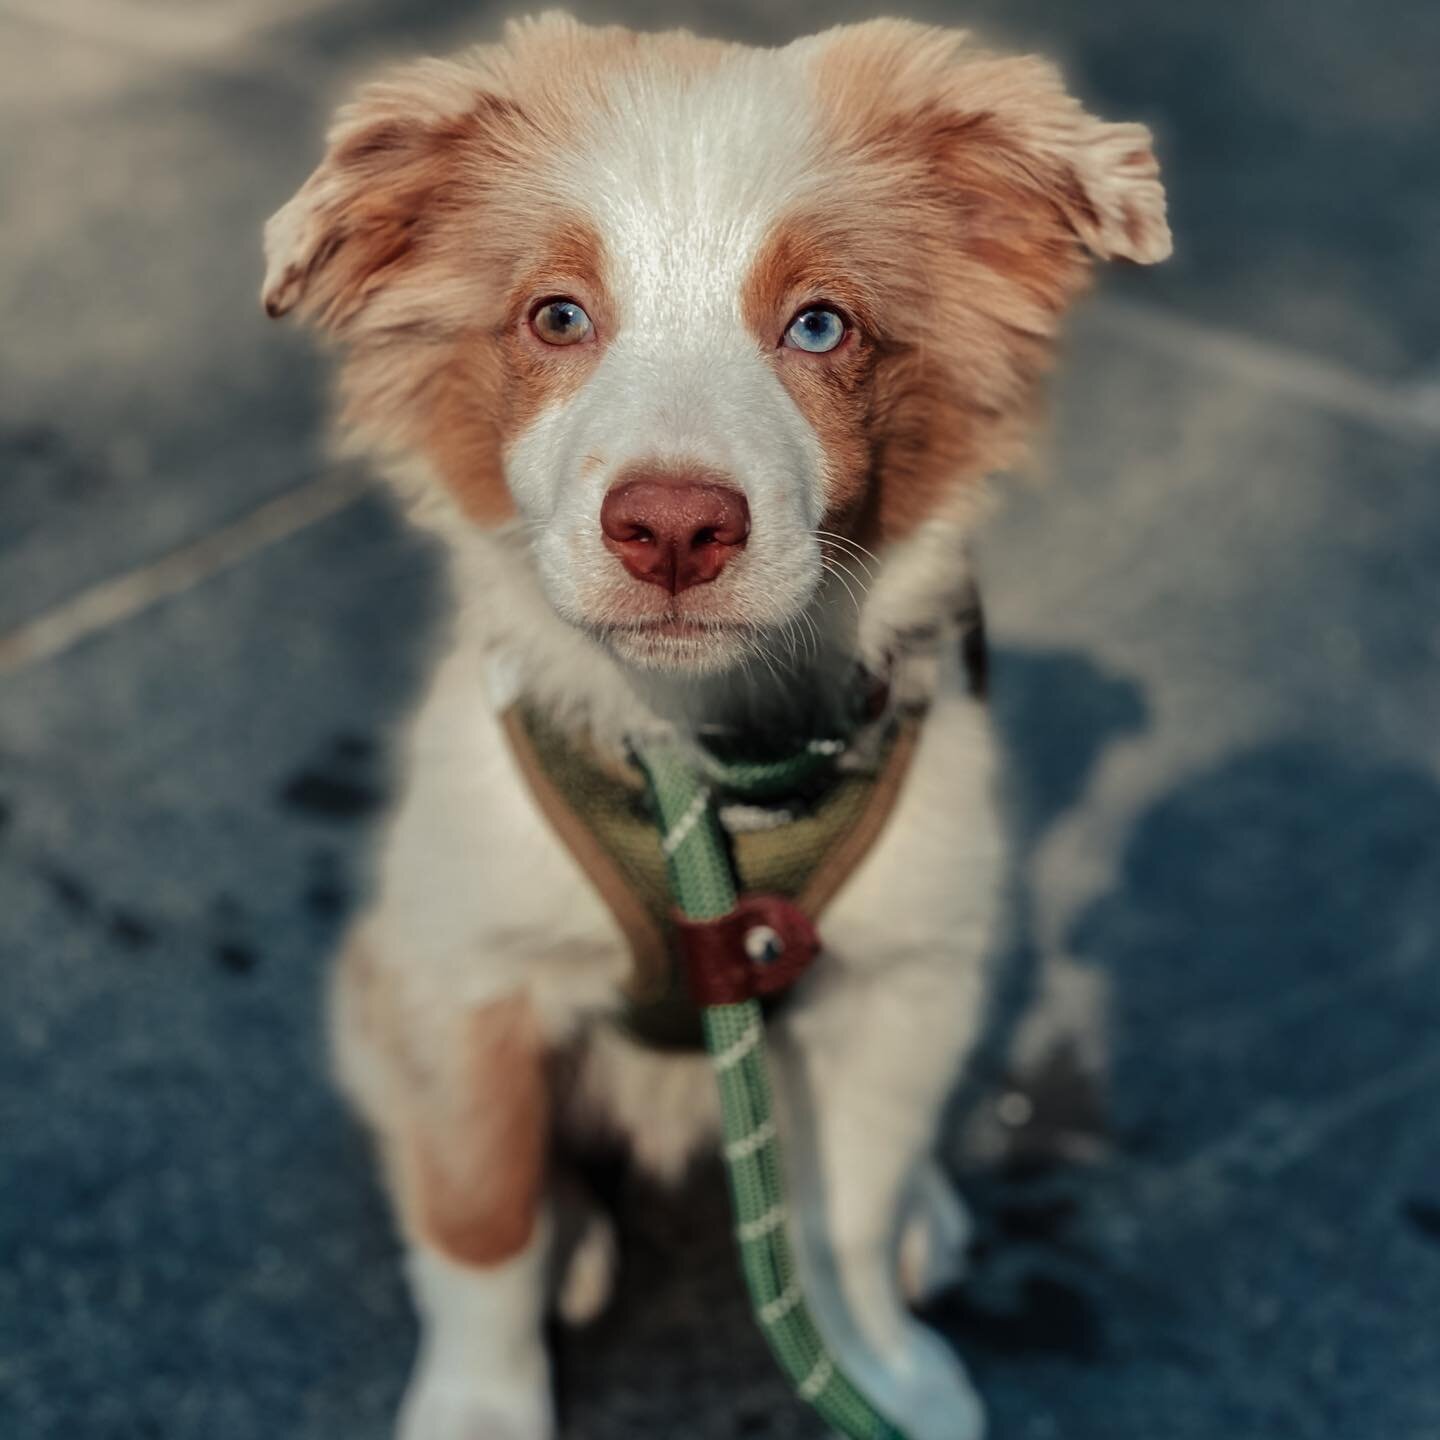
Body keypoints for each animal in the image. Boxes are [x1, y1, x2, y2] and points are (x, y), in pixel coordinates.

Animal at [262, 14, 1169, 1440]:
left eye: (821, 324)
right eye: (557, 316)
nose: (674, 528)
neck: (707, 756)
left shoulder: (905, 977)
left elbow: (847, 1222)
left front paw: (884, 1369)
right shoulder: (457, 970)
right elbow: (479, 1218)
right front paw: (480, 1403)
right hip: (371, 981)